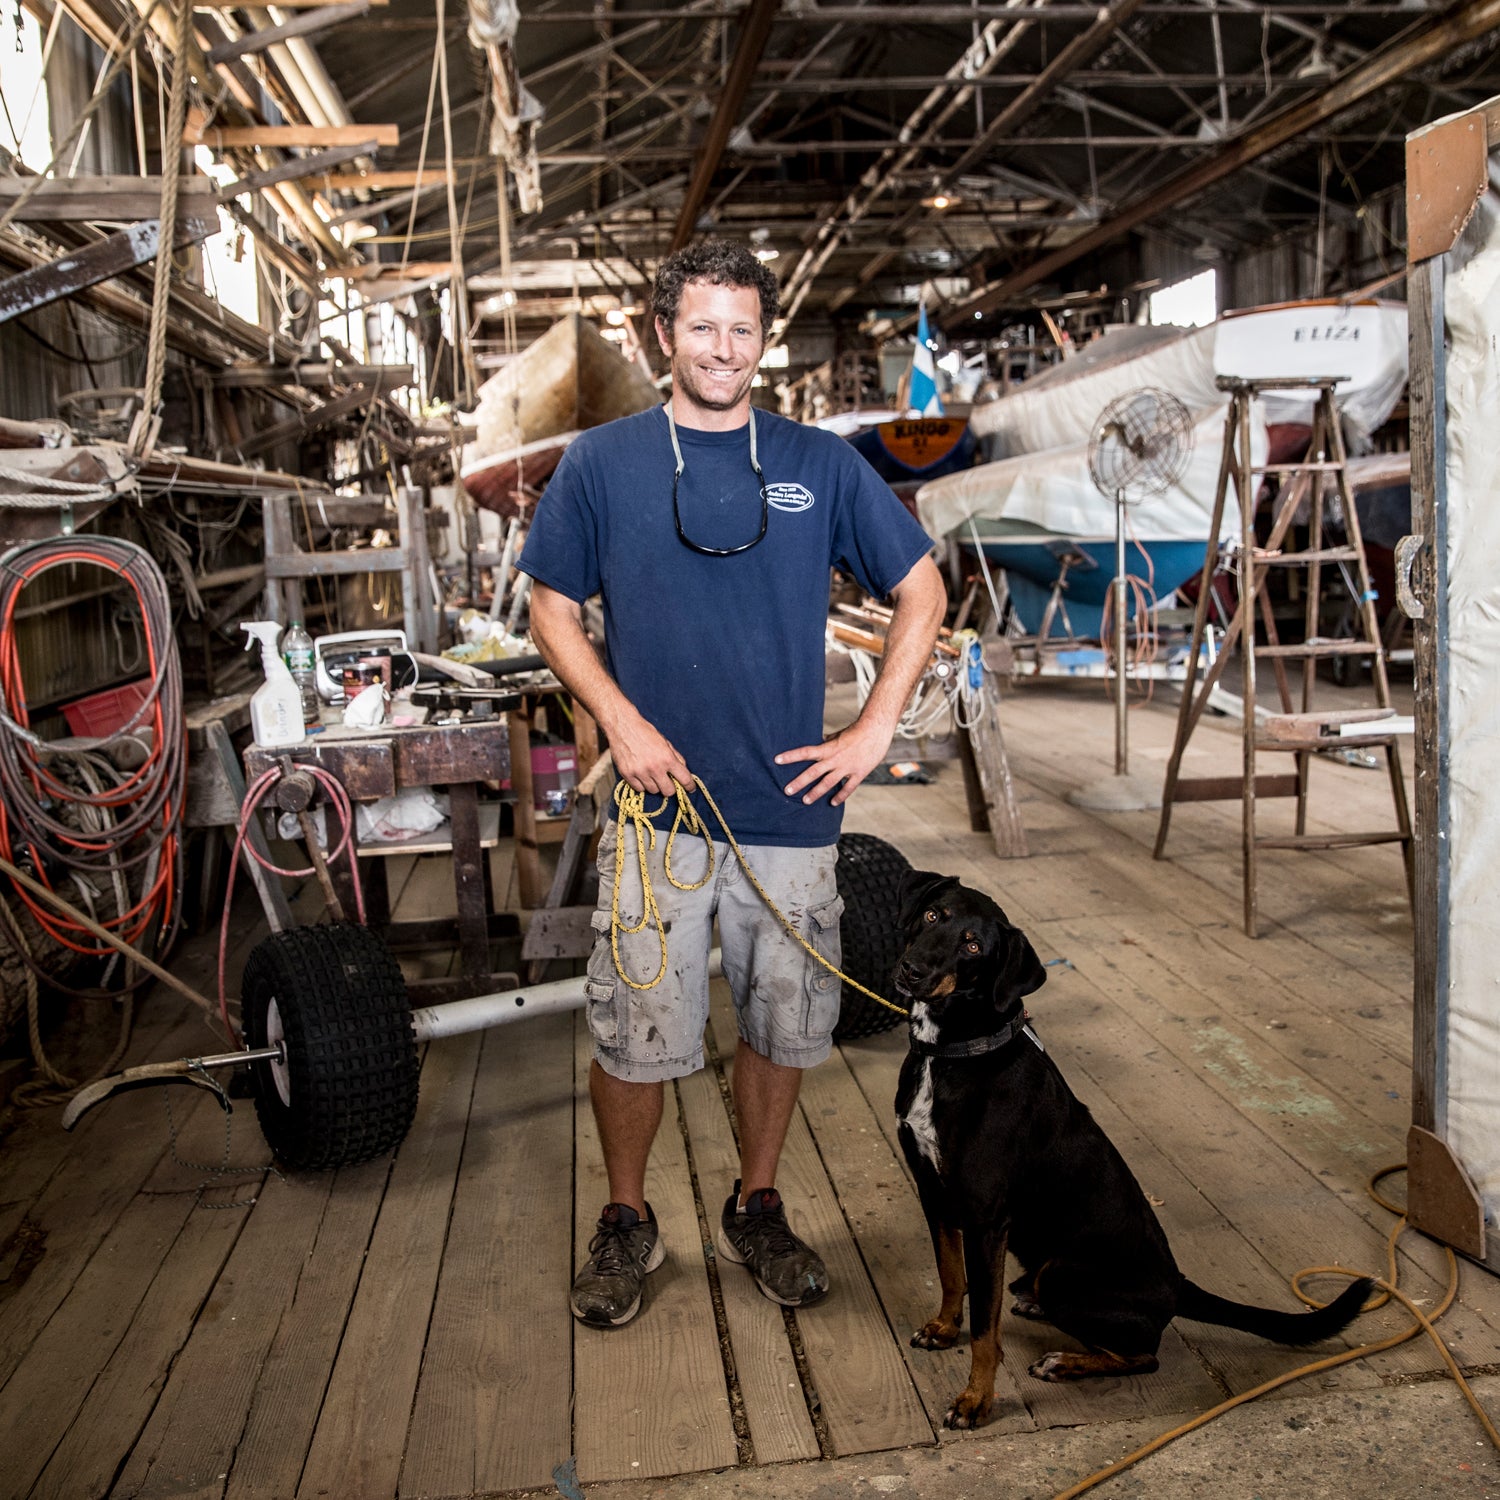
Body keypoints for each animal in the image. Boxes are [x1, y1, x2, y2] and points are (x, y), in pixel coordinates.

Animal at [888, 870, 1374, 1428]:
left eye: (972, 946)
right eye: (933, 915)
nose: (911, 970)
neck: (954, 1052)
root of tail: (1177, 1282)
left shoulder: (986, 1219)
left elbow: (986, 1331)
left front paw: (976, 1400)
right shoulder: (934, 1192)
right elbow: (951, 1276)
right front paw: (944, 1329)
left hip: (1064, 1274)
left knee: (1145, 1355)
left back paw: (1066, 1360)